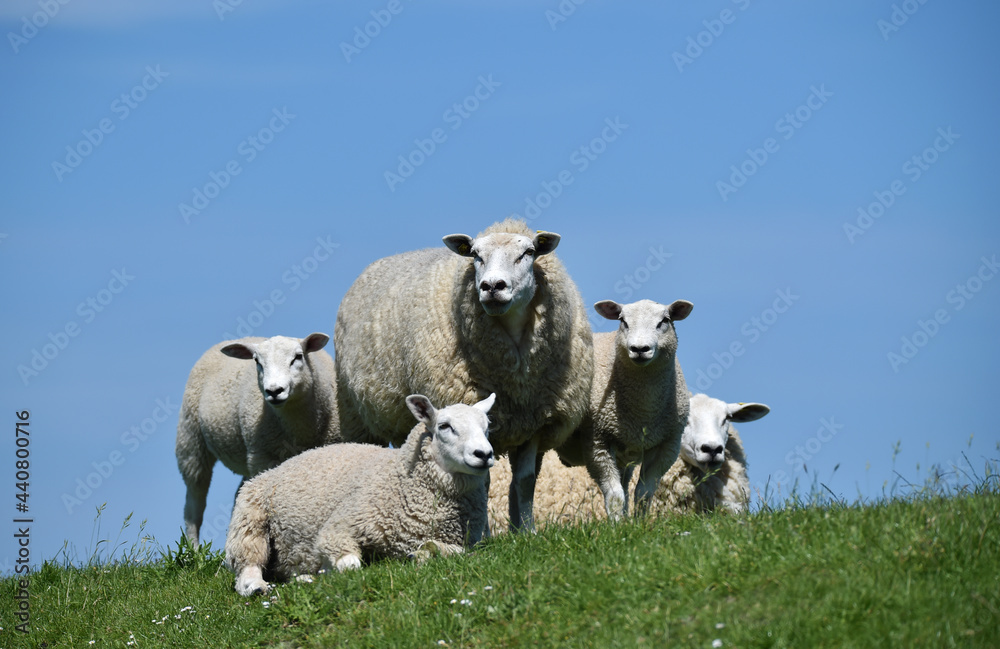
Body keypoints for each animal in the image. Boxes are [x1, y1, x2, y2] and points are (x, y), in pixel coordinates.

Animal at [175, 332, 341, 546]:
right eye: (257, 361)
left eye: (298, 356)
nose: (274, 391)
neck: (298, 428)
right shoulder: (264, 456)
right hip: (191, 440)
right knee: (194, 503)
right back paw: (194, 550)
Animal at [225, 393, 496, 596]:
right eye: (444, 426)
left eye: (486, 427)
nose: (484, 454)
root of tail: (275, 468)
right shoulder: (341, 525)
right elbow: (350, 564)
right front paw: (327, 571)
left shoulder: (468, 542)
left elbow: (452, 551)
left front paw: (422, 553)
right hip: (250, 520)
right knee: (247, 565)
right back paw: (258, 586)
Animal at [333, 218, 594, 531]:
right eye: (475, 255)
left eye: (529, 252)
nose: (492, 286)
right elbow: (483, 480)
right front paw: (484, 532)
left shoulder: (535, 422)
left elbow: (525, 482)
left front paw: (527, 532)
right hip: (358, 417)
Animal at [554, 298, 693, 520]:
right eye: (623, 321)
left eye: (664, 320)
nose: (639, 349)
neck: (643, 411)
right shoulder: (597, 441)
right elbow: (615, 495)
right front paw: (617, 525)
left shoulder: (667, 445)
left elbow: (643, 493)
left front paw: (639, 523)